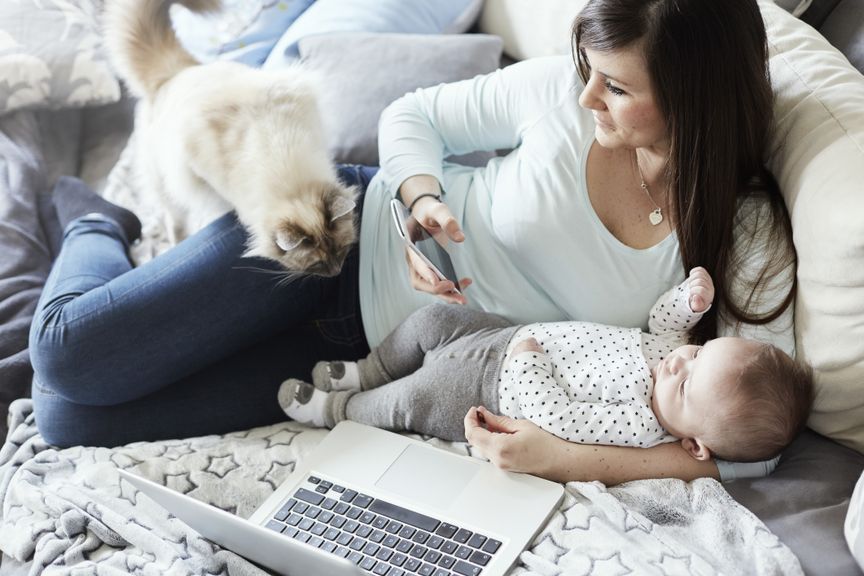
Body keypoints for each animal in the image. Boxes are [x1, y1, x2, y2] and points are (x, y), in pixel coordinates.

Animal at [104, 0, 354, 276]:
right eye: (317, 264)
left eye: (341, 250)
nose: (336, 272)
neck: (291, 183)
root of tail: (177, 72)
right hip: (167, 186)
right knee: (175, 222)